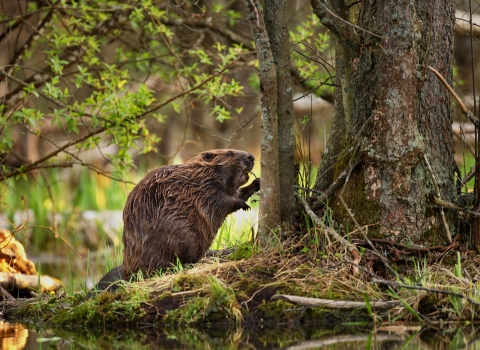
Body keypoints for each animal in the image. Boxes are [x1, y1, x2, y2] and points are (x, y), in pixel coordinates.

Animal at [90, 148, 258, 292]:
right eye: (229, 153)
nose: (251, 157)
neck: (200, 175)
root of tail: (126, 272)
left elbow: (237, 193)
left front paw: (257, 183)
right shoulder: (205, 189)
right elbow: (222, 202)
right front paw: (244, 204)